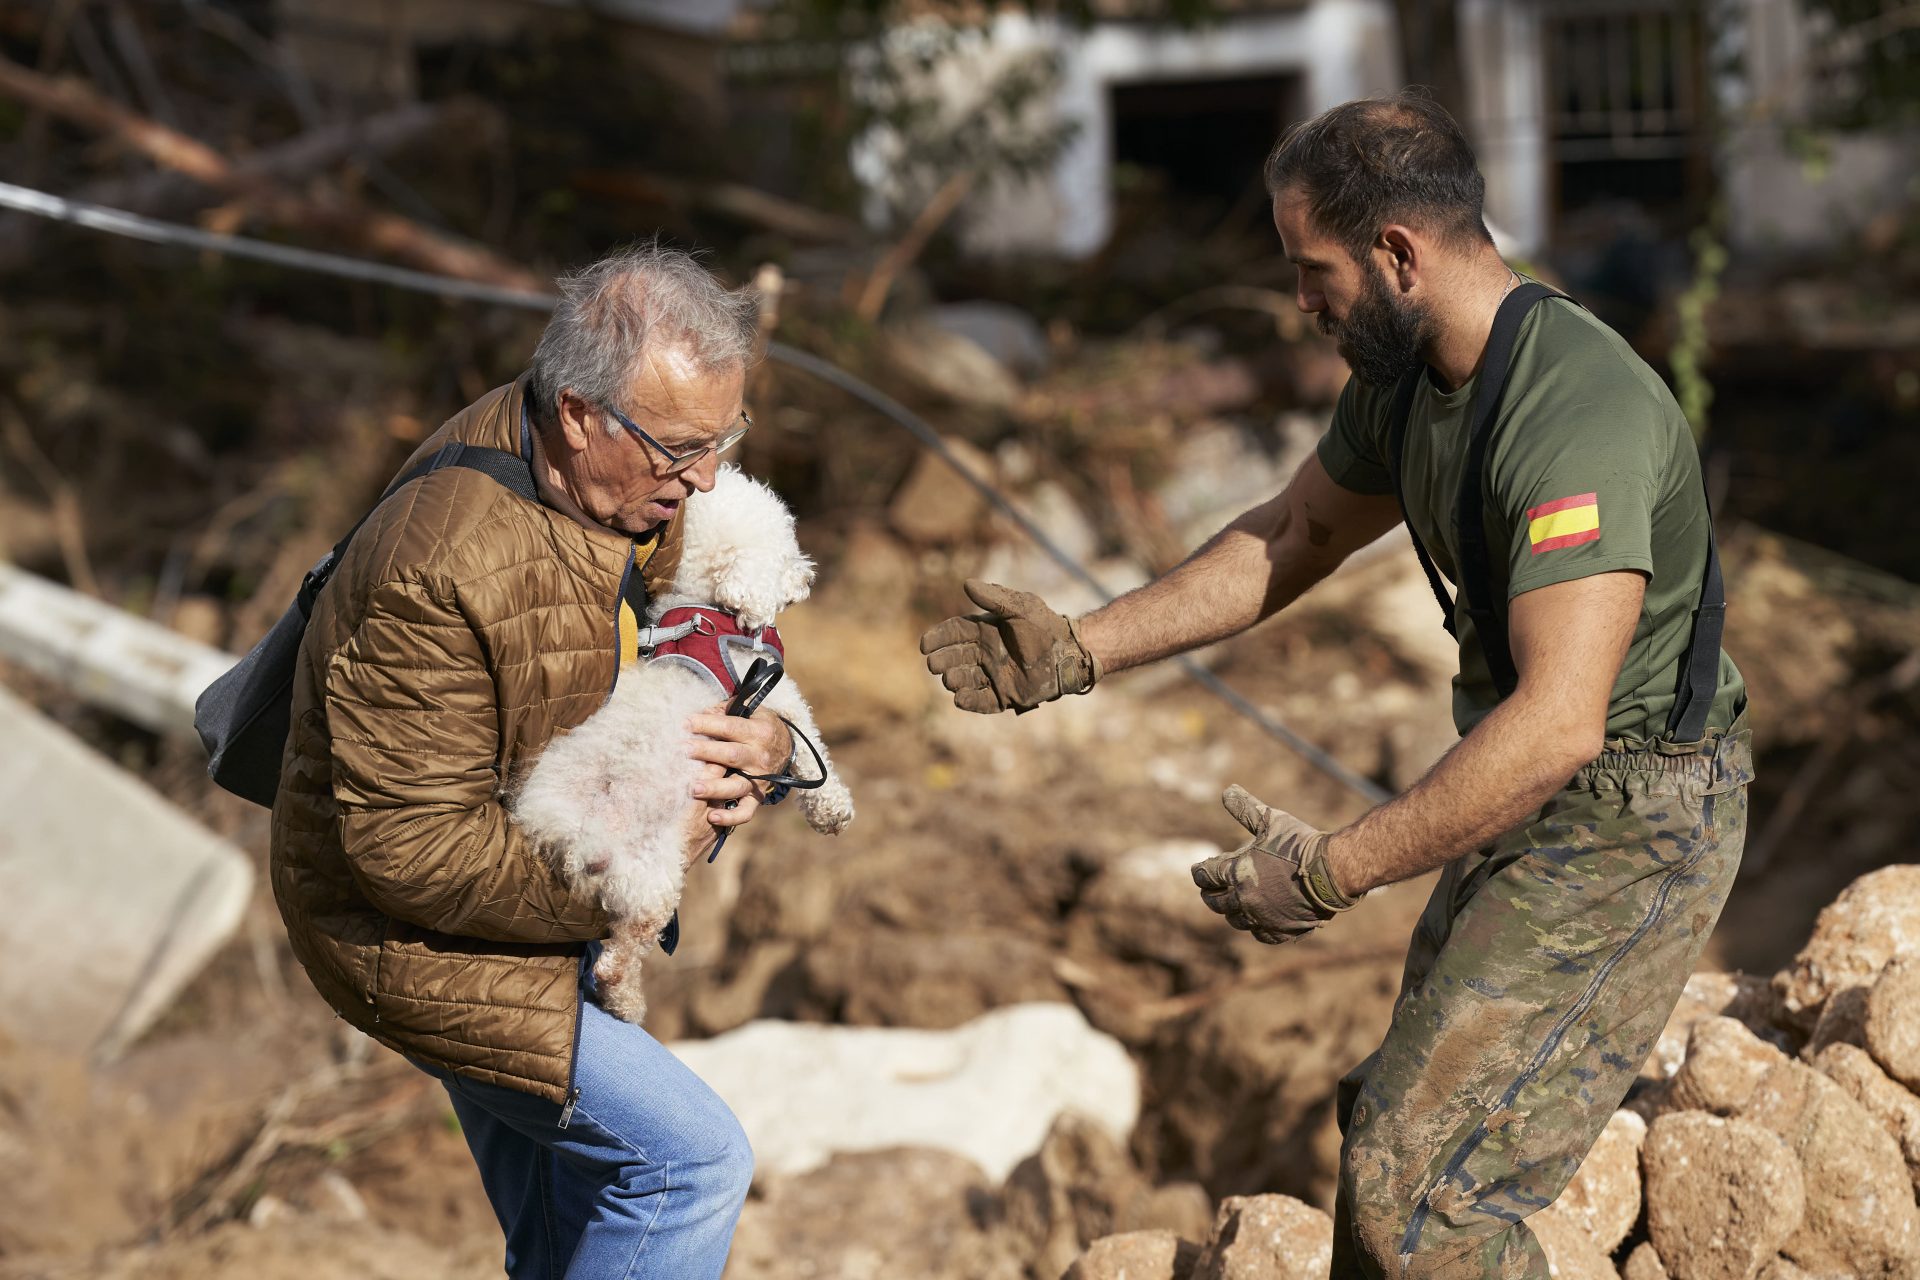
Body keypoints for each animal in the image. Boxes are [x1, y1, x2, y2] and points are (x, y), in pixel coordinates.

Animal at [510, 466, 848, 1028]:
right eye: (786, 547)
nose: (807, 577)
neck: (708, 612)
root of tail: (566, 830)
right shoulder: (772, 698)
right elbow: (808, 745)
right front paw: (833, 808)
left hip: (637, 873)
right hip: (655, 873)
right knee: (619, 957)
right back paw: (626, 1002)